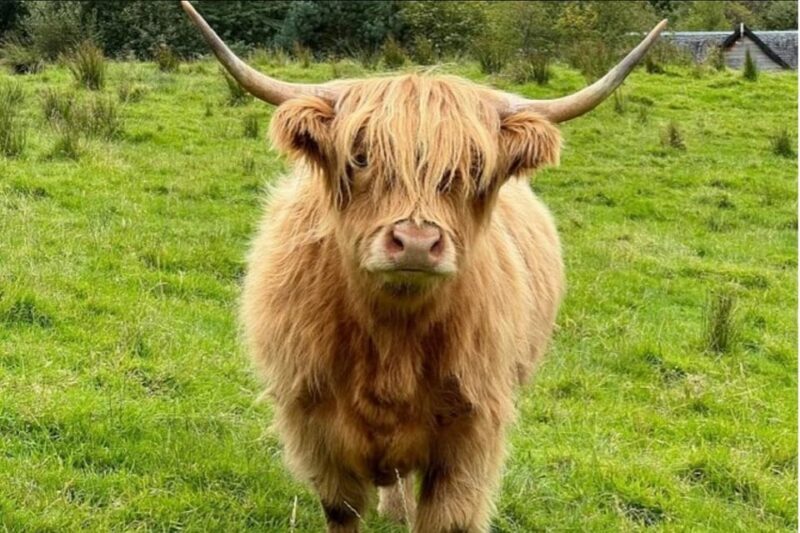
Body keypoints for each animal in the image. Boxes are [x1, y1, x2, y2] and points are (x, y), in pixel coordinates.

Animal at [181, 3, 666, 531]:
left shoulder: (471, 436)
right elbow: (342, 510)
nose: (415, 243)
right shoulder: (314, 427)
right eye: (361, 157)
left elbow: (446, 517)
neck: (392, 341)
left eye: (473, 167)